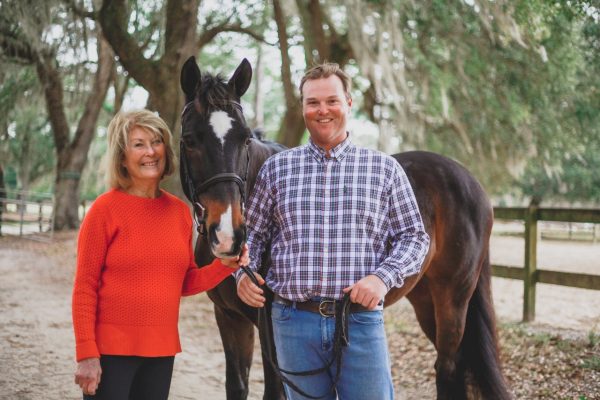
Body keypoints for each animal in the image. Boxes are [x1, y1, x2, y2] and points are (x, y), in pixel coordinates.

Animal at [178, 57, 510, 400]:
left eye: (244, 138)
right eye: (189, 139)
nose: (227, 235)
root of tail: (470, 182)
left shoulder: (271, 333)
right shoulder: (229, 320)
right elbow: (236, 385)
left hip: (453, 298)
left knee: (447, 368)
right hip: (424, 297)